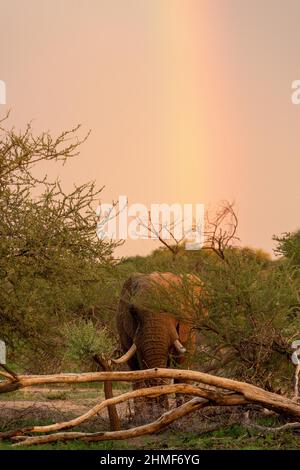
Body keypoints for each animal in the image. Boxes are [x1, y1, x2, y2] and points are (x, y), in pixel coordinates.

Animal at [112, 270, 197, 420]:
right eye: (133, 311)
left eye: (174, 309)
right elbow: (141, 365)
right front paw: (155, 416)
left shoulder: (187, 326)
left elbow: (183, 363)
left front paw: (183, 416)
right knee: (134, 369)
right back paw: (141, 417)